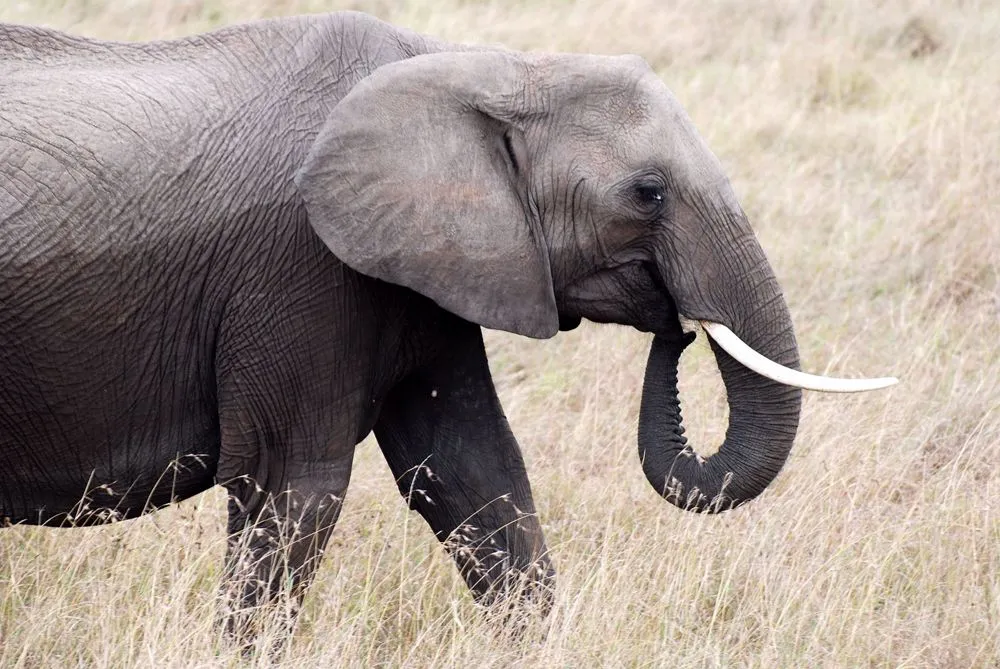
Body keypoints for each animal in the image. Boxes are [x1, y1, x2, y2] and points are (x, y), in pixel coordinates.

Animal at [0, 9, 896, 640]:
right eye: (647, 192)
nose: (675, 324)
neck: (474, 65)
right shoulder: (304, 269)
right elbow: (294, 489)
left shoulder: (429, 271)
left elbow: (475, 473)